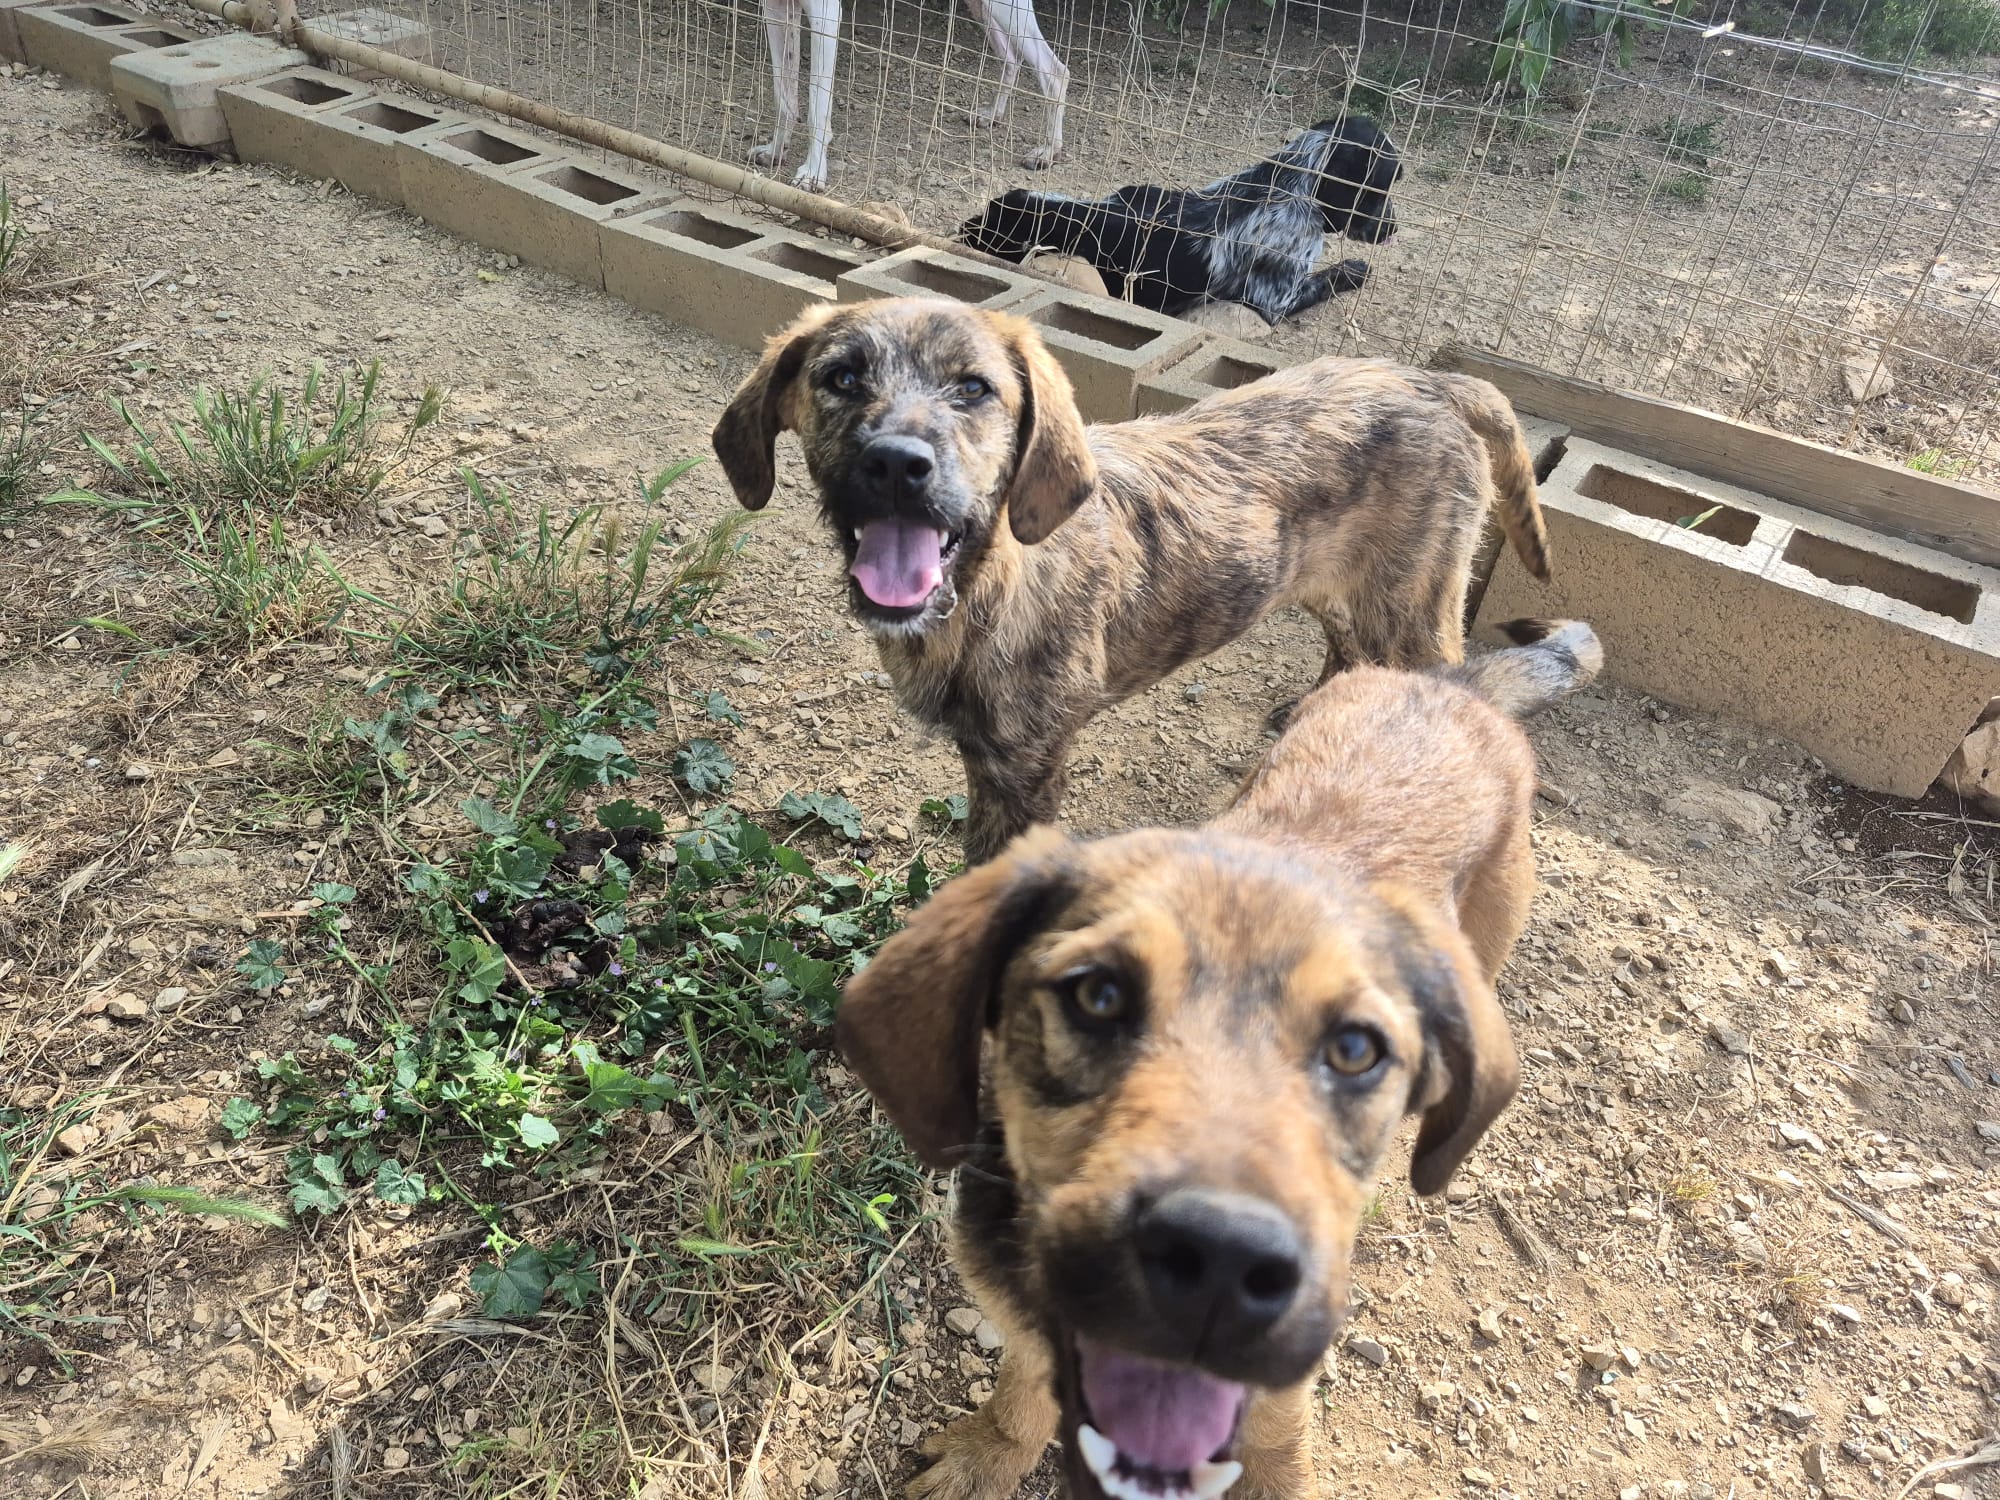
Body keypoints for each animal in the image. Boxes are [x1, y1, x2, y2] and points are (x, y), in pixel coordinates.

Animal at [711, 297, 1551, 864]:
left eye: (974, 389)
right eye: (842, 377)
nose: (894, 464)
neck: (990, 585)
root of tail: (1435, 381)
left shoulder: (1024, 776)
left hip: (1413, 605)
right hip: (1336, 582)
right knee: (1345, 637)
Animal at [751, 0, 1068, 193]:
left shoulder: (825, 12)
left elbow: (818, 102)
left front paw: (813, 172)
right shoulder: (775, 9)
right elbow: (783, 96)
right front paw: (775, 150)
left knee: (1054, 71)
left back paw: (1047, 151)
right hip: (983, 7)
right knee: (1011, 59)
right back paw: (991, 115)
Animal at [836, 617, 1602, 1500]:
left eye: (1355, 1049)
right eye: (1098, 995)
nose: (1220, 1264)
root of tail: (1452, 684)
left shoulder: (1277, 1397)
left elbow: (1276, 1459)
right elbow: (1024, 1384)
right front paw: (989, 1454)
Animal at [956, 116, 1402, 326]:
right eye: (1381, 188)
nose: (1394, 229)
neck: (1289, 183)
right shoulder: (1275, 300)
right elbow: (1328, 278)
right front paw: (1355, 269)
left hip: (1134, 189)